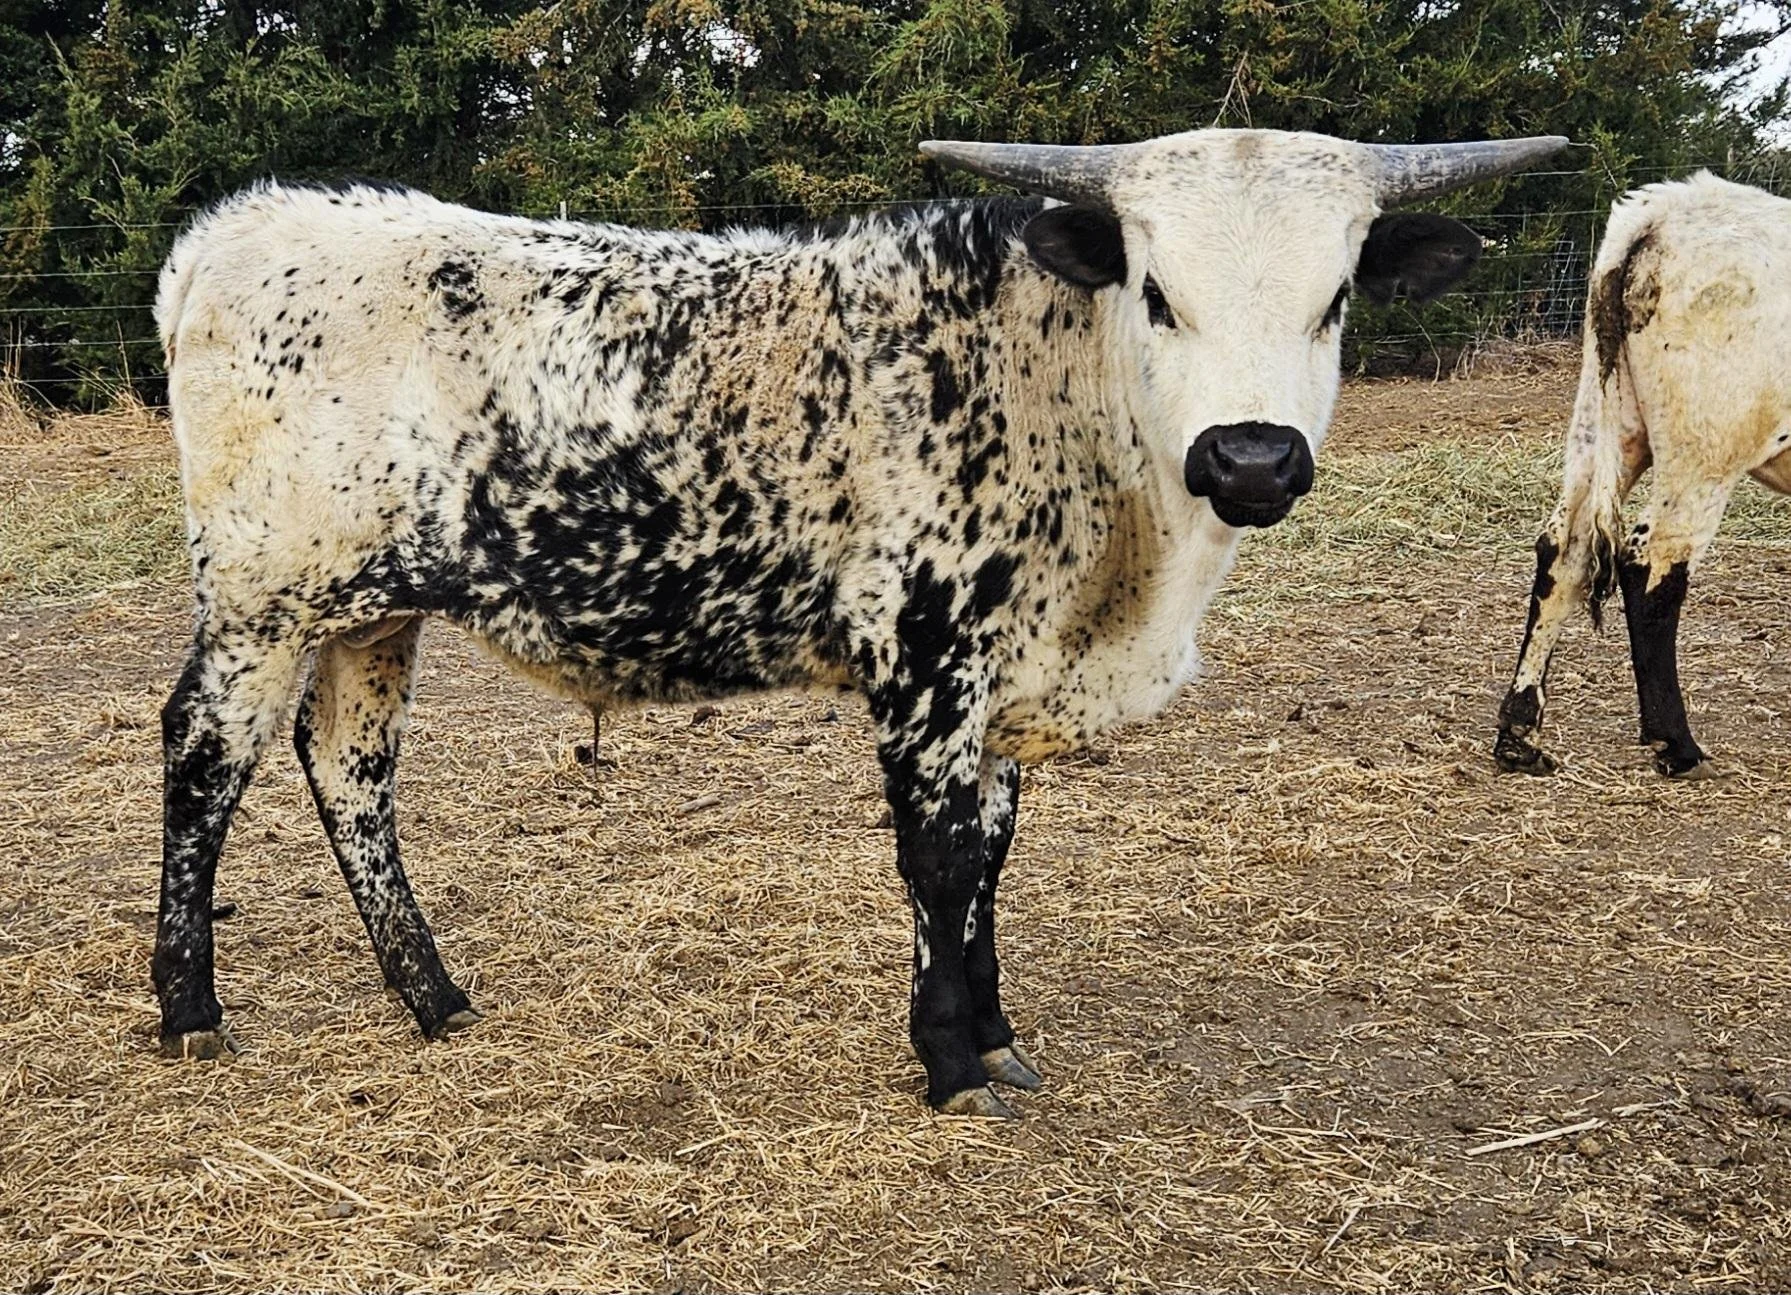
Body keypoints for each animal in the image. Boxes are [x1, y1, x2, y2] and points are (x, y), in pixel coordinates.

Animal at [154, 128, 1565, 1116]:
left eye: (1337, 297)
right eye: (1159, 291)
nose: (1254, 458)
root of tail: (234, 232)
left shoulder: (1002, 677)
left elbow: (990, 857)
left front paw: (994, 1030)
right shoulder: (924, 658)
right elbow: (936, 860)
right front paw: (948, 1058)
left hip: (371, 609)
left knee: (349, 767)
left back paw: (434, 994)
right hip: (261, 597)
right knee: (202, 760)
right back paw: (187, 1006)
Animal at [1495, 173, 1791, 781]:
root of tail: (1667, 209)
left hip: (1605, 426)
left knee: (1562, 550)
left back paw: (1519, 733)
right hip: (1702, 451)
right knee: (1651, 565)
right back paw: (1676, 745)